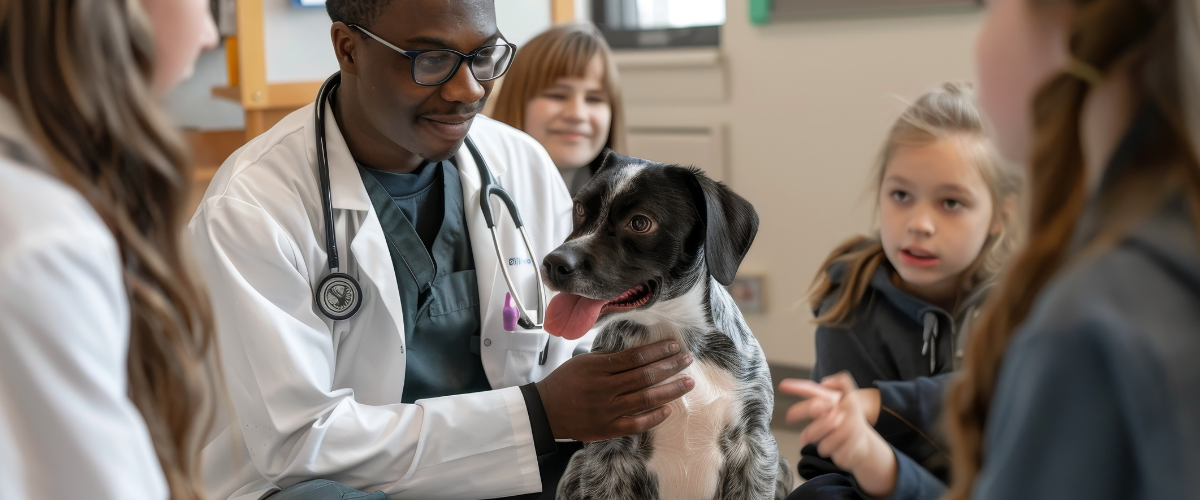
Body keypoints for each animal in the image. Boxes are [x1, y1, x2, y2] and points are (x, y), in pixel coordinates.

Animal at [542, 151, 787, 498]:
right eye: (579, 209)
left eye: (640, 223)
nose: (553, 263)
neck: (671, 327)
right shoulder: (606, 455)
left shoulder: (755, 449)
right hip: (575, 467)